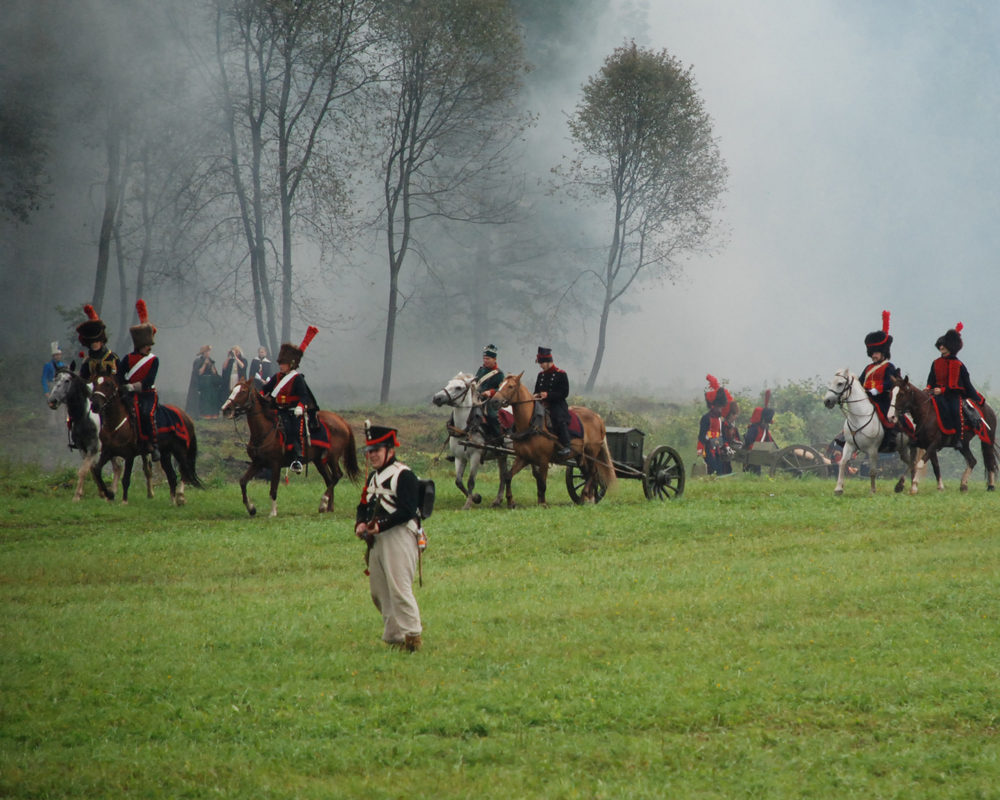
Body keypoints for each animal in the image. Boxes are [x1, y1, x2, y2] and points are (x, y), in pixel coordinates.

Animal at [46, 367, 121, 501]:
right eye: (55, 380)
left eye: (67, 380)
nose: (52, 401)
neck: (83, 416)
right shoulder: (83, 448)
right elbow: (91, 468)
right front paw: (101, 492)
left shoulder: (93, 447)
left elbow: (83, 470)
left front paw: (77, 496)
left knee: (119, 467)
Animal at [89, 375, 202, 505]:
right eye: (94, 383)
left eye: (108, 384)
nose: (95, 405)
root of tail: (187, 417)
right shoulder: (108, 451)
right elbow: (97, 470)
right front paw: (109, 494)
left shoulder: (129, 455)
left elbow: (126, 479)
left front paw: (124, 501)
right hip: (165, 453)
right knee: (172, 476)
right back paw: (173, 501)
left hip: (179, 450)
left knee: (184, 468)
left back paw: (180, 496)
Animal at [221, 379, 360, 517]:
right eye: (232, 390)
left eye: (243, 391)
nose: (225, 409)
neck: (265, 430)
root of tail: (341, 420)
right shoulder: (257, 463)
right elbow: (243, 482)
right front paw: (251, 508)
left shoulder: (275, 464)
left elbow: (273, 489)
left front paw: (273, 513)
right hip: (319, 460)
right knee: (329, 479)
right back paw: (328, 507)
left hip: (332, 457)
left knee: (337, 476)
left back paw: (323, 503)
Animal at [432, 372, 511, 510]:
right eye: (448, 383)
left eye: (458, 387)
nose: (437, 398)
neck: (466, 428)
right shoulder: (459, 458)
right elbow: (458, 481)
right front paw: (475, 498)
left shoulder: (475, 457)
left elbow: (470, 482)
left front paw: (468, 504)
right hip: (502, 455)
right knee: (503, 475)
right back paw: (497, 500)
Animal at [487, 371, 616, 507]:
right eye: (500, 385)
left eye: (510, 386)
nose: (494, 401)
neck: (532, 424)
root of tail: (597, 417)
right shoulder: (523, 458)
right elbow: (508, 476)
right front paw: (511, 500)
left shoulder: (544, 459)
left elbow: (542, 482)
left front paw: (542, 503)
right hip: (580, 455)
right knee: (588, 474)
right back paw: (589, 499)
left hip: (591, 452)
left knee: (592, 473)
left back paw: (586, 494)